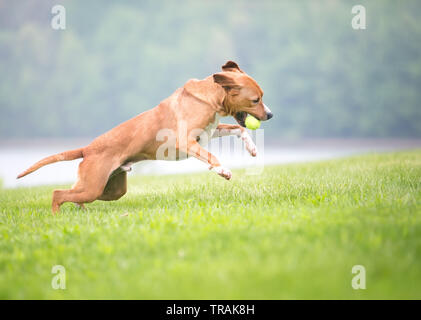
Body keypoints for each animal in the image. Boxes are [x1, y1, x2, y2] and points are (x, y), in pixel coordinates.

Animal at [16, 61, 272, 214]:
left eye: (261, 96)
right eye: (255, 100)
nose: (270, 114)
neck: (208, 97)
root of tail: (88, 149)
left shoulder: (209, 132)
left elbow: (239, 130)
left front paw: (251, 148)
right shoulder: (186, 141)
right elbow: (211, 156)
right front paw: (223, 170)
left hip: (109, 189)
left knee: (74, 193)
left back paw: (80, 210)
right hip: (93, 186)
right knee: (58, 194)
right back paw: (57, 215)